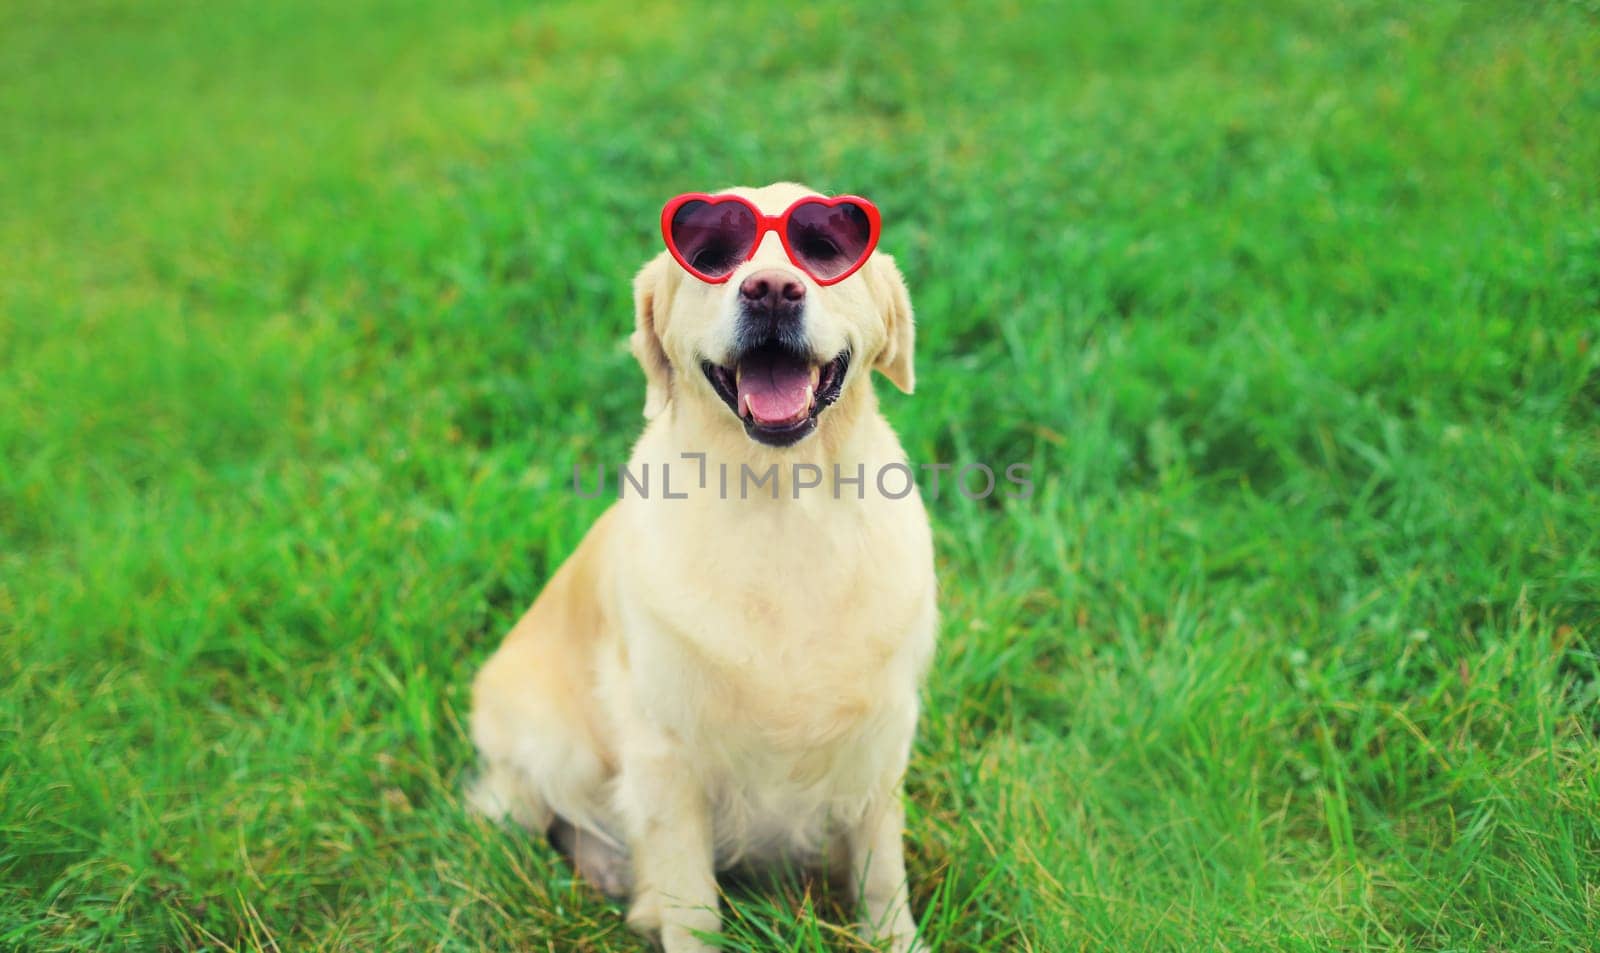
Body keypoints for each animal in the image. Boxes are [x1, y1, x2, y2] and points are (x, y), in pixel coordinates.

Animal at [467, 182, 934, 946]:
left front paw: (896, 938)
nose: (771, 291)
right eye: (711, 255)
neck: (782, 503)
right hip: (542, 742)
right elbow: (691, 900)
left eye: (824, 248)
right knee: (537, 811)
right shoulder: (664, 754)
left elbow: (880, 870)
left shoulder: (881, 734)